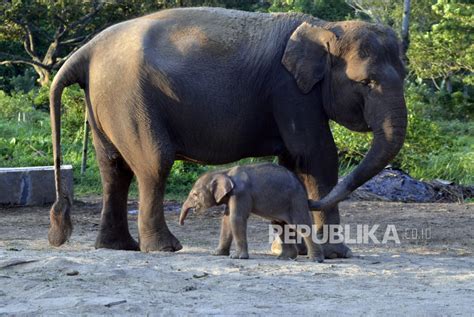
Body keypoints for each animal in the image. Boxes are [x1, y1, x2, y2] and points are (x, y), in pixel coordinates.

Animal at [180, 163, 324, 262]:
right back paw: (284, 258)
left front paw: (237, 257)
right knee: (279, 225)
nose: (181, 224)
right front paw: (216, 254)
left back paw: (316, 260)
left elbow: (236, 218)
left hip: (295, 200)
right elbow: (226, 220)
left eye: (195, 194)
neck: (224, 172)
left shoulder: (240, 193)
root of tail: (303, 190)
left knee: (301, 224)